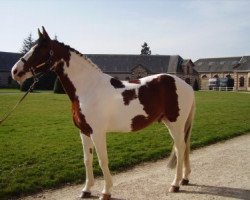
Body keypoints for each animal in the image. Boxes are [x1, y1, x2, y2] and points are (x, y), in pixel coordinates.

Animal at [11, 27, 195, 200]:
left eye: (39, 50)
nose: (15, 72)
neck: (88, 88)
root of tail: (187, 85)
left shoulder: (97, 132)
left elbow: (102, 160)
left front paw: (106, 192)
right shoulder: (84, 132)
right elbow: (87, 160)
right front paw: (86, 190)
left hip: (176, 124)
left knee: (180, 148)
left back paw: (175, 184)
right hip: (171, 124)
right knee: (183, 147)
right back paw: (184, 179)